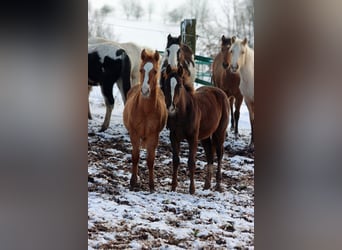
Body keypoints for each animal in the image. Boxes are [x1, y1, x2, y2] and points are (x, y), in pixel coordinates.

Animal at [123, 48, 168, 192]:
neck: (145, 111)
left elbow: (150, 160)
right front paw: (132, 182)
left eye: (155, 71)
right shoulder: (134, 134)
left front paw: (152, 185)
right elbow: (135, 157)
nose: (145, 90)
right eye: (141, 69)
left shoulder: (153, 136)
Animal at [164, 65, 230, 195]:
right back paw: (206, 185)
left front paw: (192, 189)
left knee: (219, 154)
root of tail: (221, 92)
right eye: (166, 85)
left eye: (179, 85)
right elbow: (175, 160)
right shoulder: (173, 137)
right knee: (210, 155)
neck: (183, 113)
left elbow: (191, 162)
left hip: (219, 132)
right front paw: (173, 187)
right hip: (205, 136)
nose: (171, 108)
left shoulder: (193, 138)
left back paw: (218, 185)